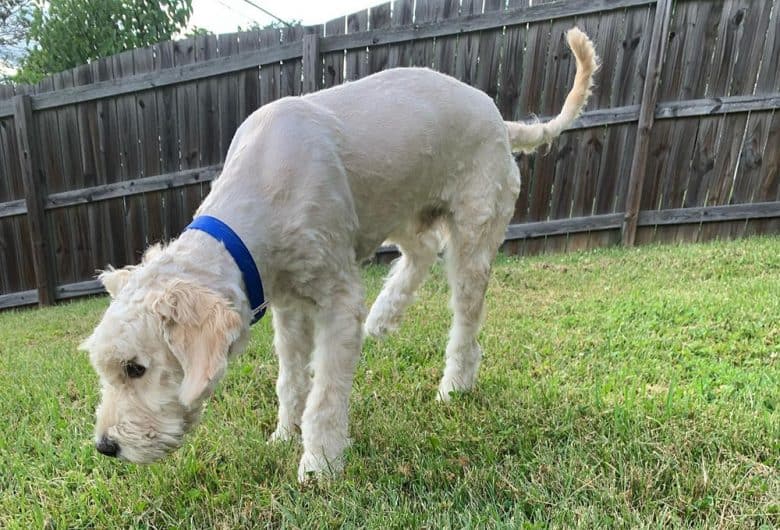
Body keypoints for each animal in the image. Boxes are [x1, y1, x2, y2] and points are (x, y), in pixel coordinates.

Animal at [80, 27, 596, 478]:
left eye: (135, 368)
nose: (105, 447)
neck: (259, 196)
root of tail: (500, 121)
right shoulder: (288, 309)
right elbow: (291, 380)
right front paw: (284, 435)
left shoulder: (337, 302)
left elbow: (325, 393)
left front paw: (319, 464)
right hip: (402, 210)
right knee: (422, 252)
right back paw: (384, 317)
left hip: (473, 235)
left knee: (465, 321)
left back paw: (453, 385)